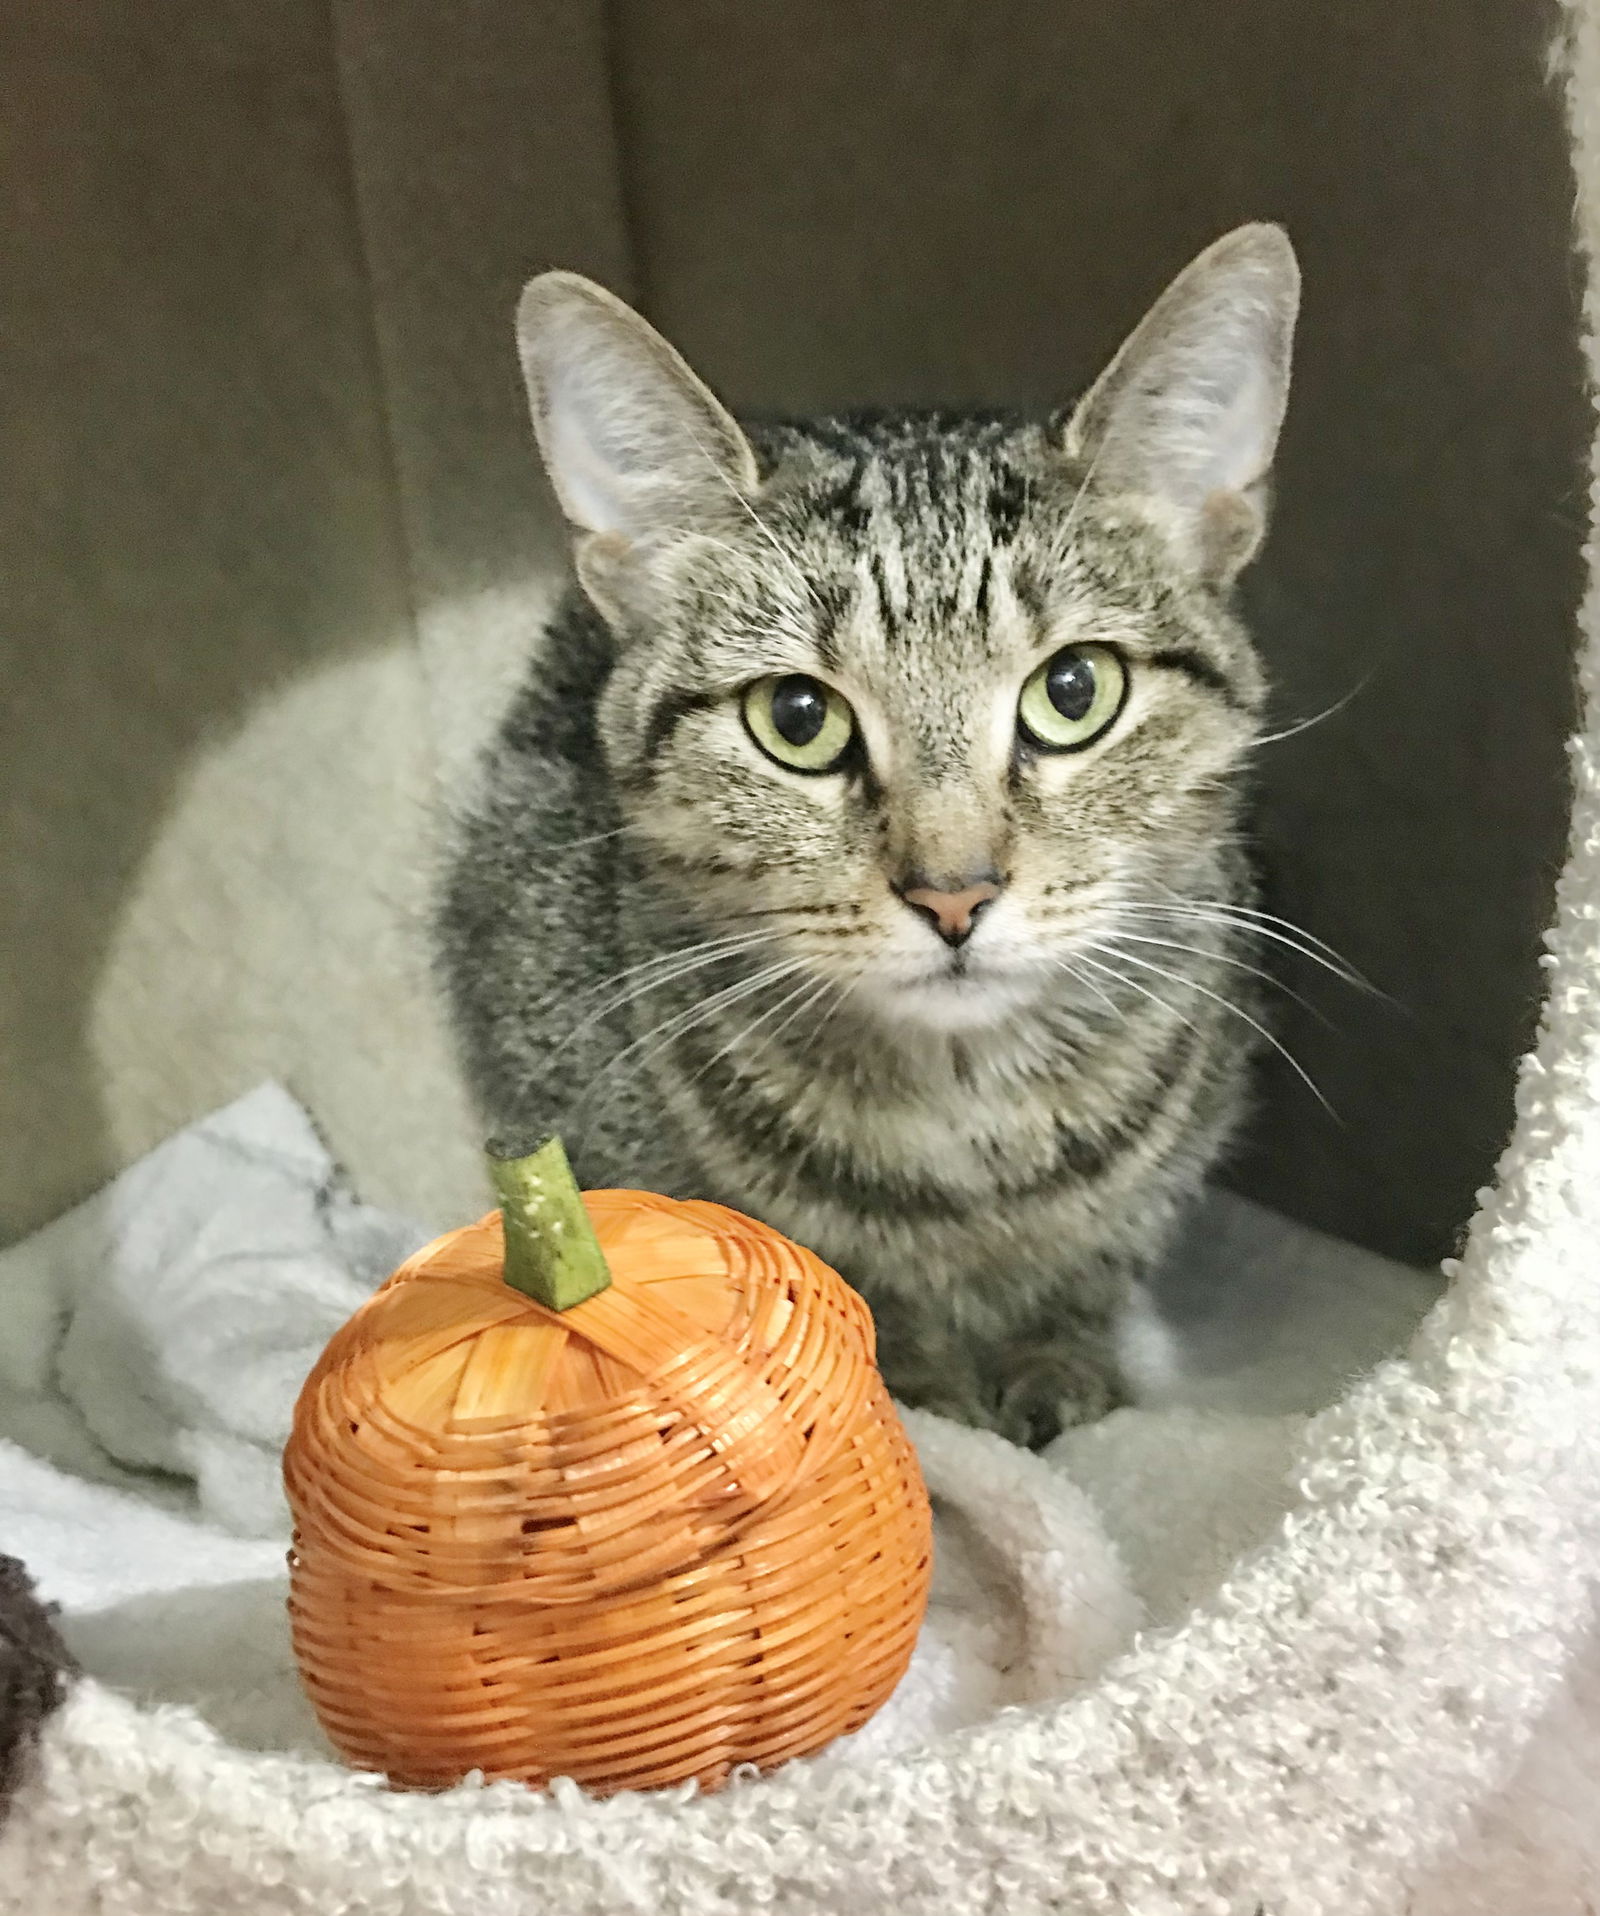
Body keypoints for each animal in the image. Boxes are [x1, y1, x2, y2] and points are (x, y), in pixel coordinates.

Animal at [434, 220, 1302, 1440]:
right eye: (797, 719)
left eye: (1074, 690)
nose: (954, 892)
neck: (966, 1123)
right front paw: (927, 1396)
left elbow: (1092, 1270)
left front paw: (1061, 1367)